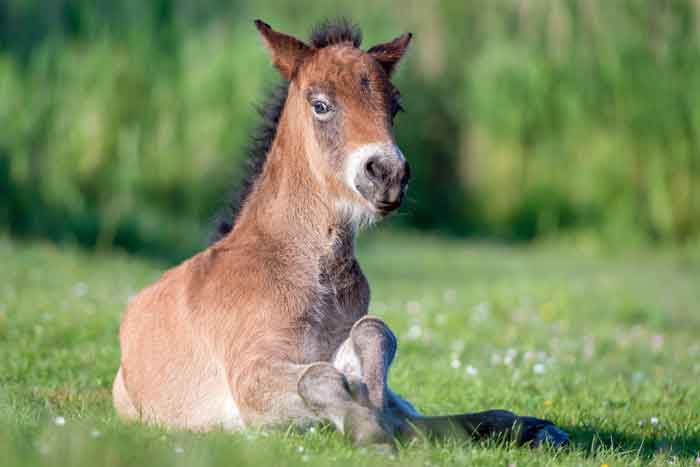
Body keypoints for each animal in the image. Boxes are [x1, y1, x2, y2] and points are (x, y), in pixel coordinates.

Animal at [110, 19, 568, 450]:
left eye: (396, 106)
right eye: (321, 104)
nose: (388, 174)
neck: (307, 269)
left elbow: (374, 335)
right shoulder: (251, 378)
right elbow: (318, 377)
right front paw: (371, 430)